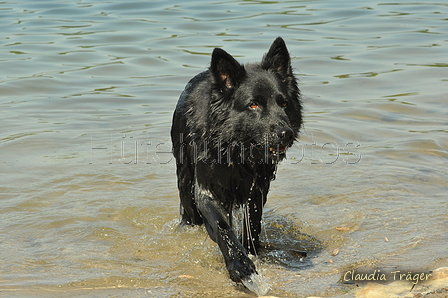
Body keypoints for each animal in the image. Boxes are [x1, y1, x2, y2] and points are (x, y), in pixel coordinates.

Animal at [171, 37, 300, 286]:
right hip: (185, 183)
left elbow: (252, 223)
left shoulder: (257, 190)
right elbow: (222, 228)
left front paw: (251, 253)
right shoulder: (206, 190)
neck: (234, 150)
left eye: (284, 103)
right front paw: (240, 266)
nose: (286, 134)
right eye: (254, 105)